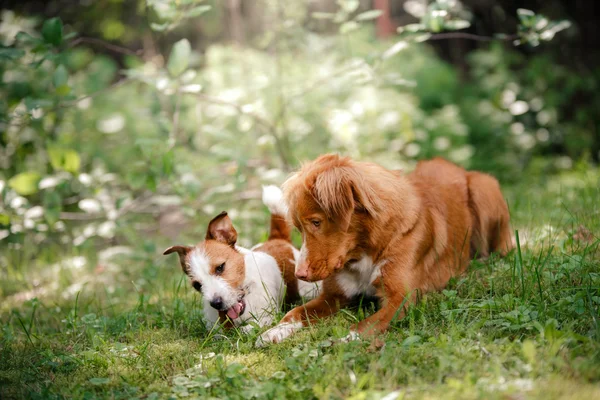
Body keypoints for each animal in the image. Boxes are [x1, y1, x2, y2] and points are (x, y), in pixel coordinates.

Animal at [164, 187, 322, 332]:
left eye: (220, 267)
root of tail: (277, 239)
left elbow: (251, 327)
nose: (216, 303)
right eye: (197, 285)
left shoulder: (267, 316)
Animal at [255, 153, 512, 344]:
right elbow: (295, 312)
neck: (364, 251)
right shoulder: (333, 296)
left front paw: (345, 341)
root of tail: (451, 164)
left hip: (484, 188)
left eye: (316, 222)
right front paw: (274, 331)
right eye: (299, 228)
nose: (299, 274)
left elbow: (367, 324)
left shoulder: (402, 297)